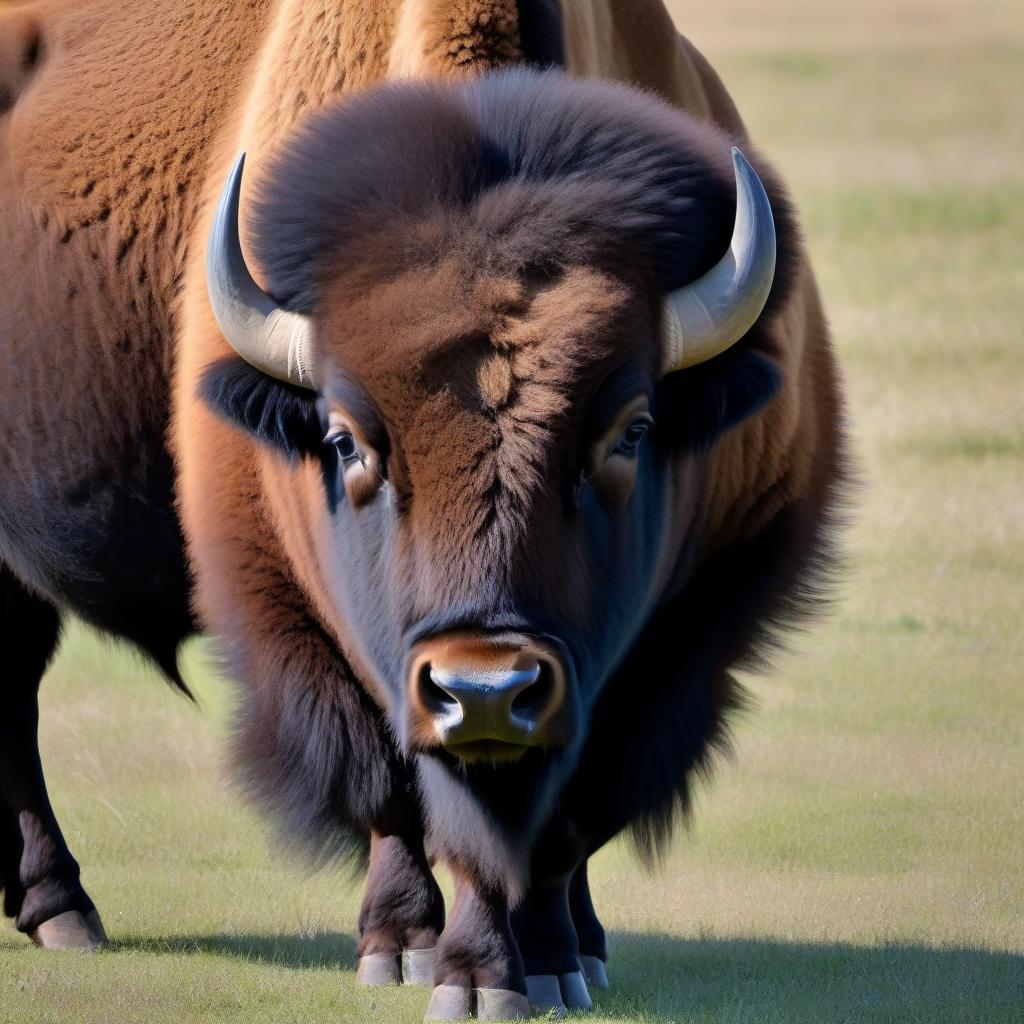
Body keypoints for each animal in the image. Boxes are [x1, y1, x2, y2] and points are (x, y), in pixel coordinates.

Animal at [0, 4, 843, 1019]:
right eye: (346, 439)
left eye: (630, 431)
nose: (484, 687)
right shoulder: (302, 619)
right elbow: (400, 788)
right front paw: (420, 956)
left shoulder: (687, 628)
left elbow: (561, 815)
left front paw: (548, 962)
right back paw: (63, 910)